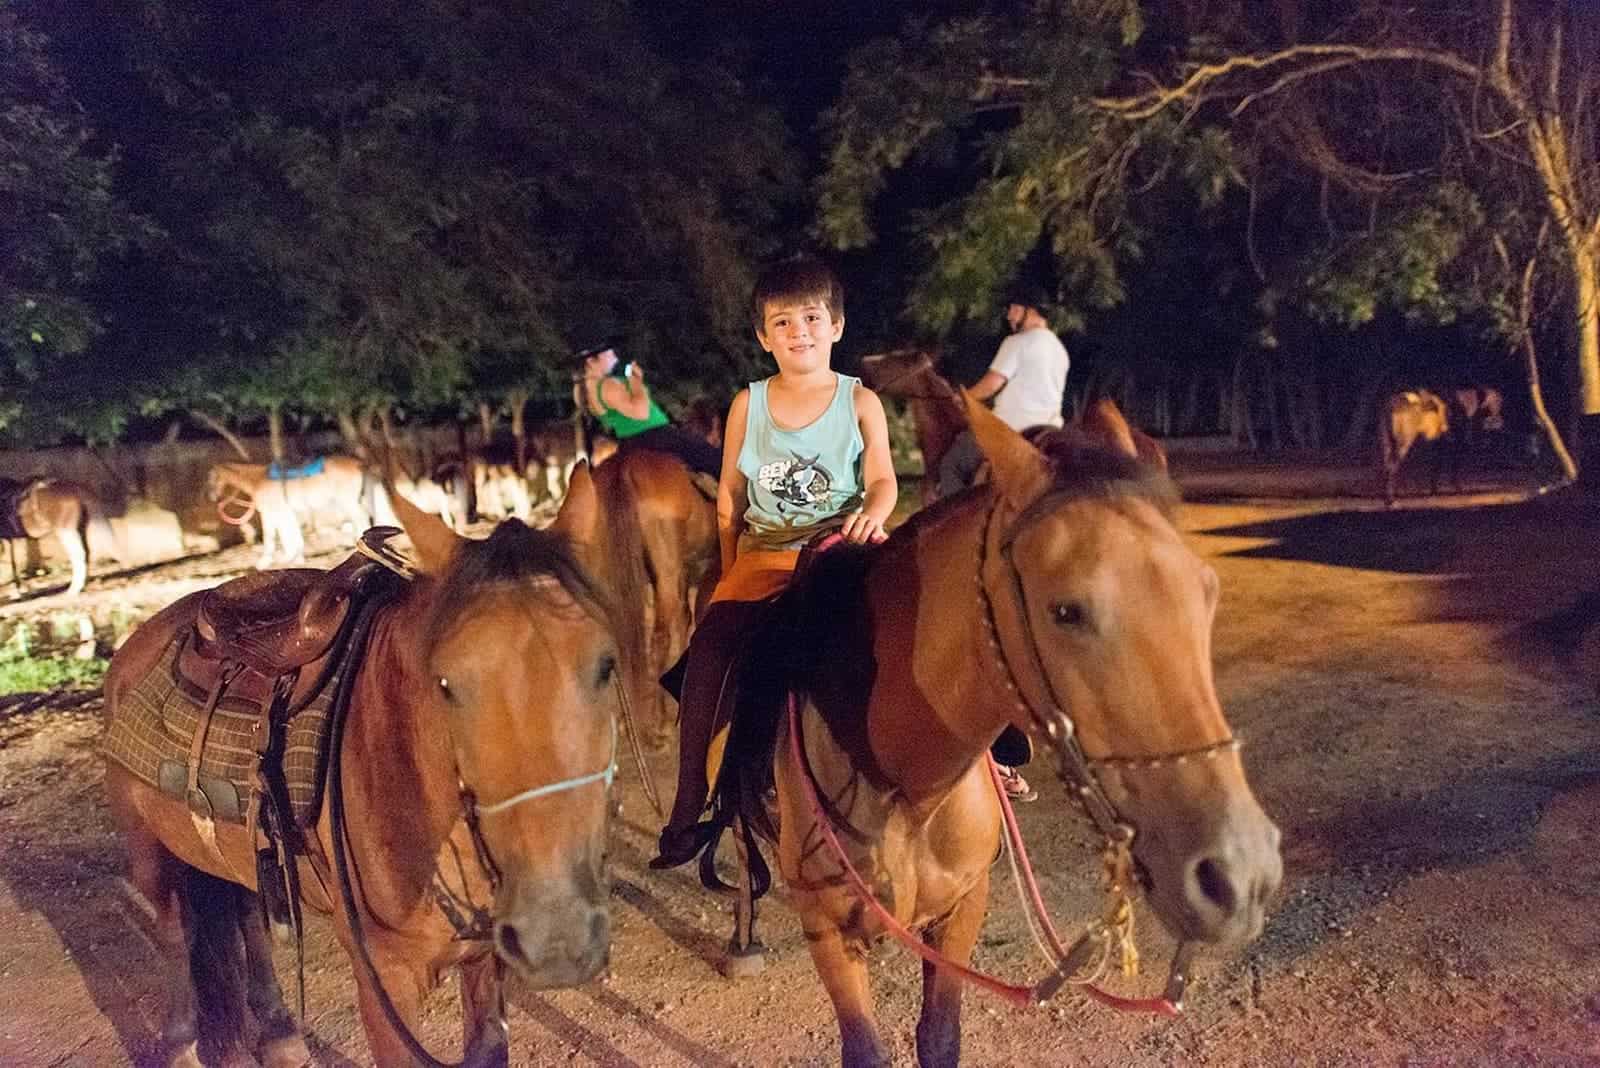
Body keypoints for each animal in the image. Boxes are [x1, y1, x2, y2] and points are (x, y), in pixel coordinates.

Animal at [101, 476, 617, 1068]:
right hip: (150, 857)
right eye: (446, 683)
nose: (558, 937)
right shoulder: (386, 986)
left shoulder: (484, 964)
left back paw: (279, 1031)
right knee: (171, 931)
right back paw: (182, 1043)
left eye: (607, 664)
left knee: (249, 914)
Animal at [201, 454, 369, 565]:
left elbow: (271, 536)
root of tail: (358, 463)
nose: (210, 496)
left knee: (360, 517)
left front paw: (265, 562)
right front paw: (294, 558)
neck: (258, 480)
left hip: (347, 501)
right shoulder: (283, 513)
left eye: (210, 477)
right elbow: (288, 534)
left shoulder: (270, 513)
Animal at [707, 394, 1280, 1068]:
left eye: (1207, 593)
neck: (901, 780)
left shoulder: (962, 912)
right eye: (1066, 610)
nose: (1241, 875)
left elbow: (939, 1036)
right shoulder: (827, 929)